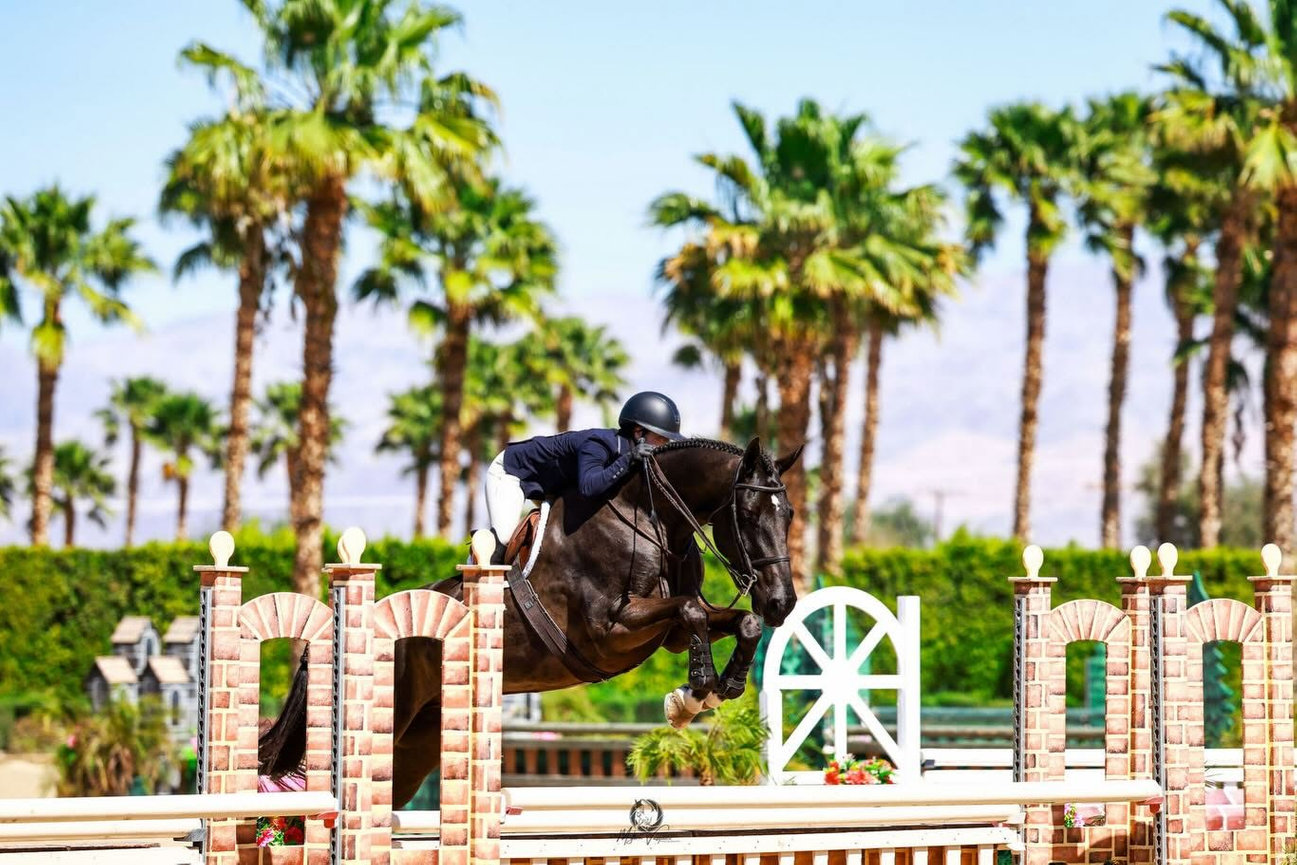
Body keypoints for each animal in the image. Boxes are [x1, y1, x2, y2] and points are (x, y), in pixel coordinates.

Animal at [258, 436, 801, 807]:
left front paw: (707, 693)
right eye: (748, 513)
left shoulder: (664, 634)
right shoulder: (608, 632)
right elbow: (689, 611)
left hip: (417, 738)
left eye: (790, 513)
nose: (782, 603)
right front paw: (694, 692)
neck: (648, 514)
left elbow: (735, 623)